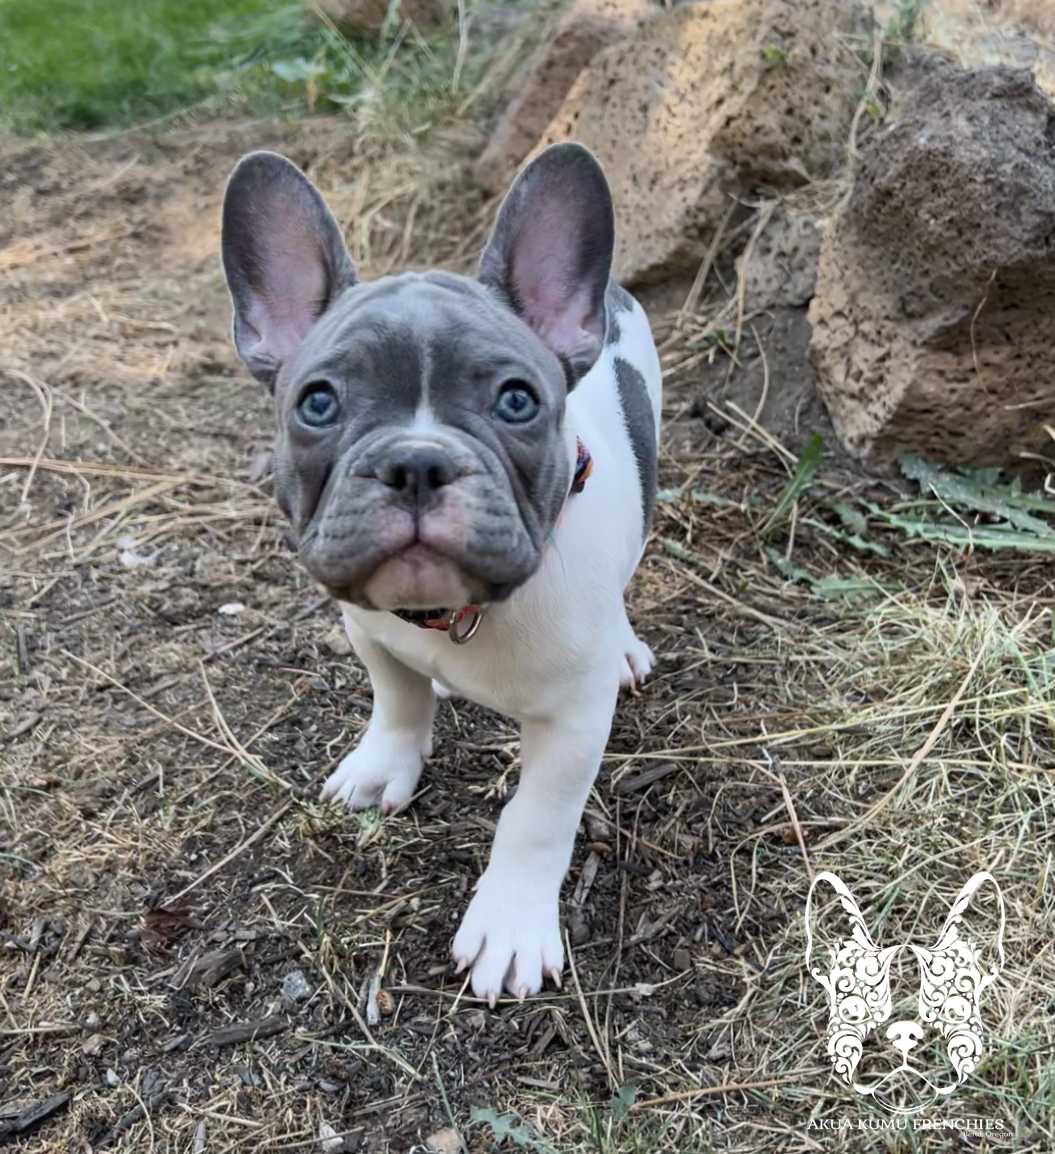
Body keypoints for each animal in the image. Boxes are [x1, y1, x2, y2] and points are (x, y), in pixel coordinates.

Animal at [220, 141, 655, 1001]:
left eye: (517, 401)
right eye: (316, 404)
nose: (416, 462)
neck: (456, 615)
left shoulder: (573, 725)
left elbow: (535, 819)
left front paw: (509, 924)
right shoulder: (370, 631)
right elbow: (397, 697)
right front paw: (384, 761)